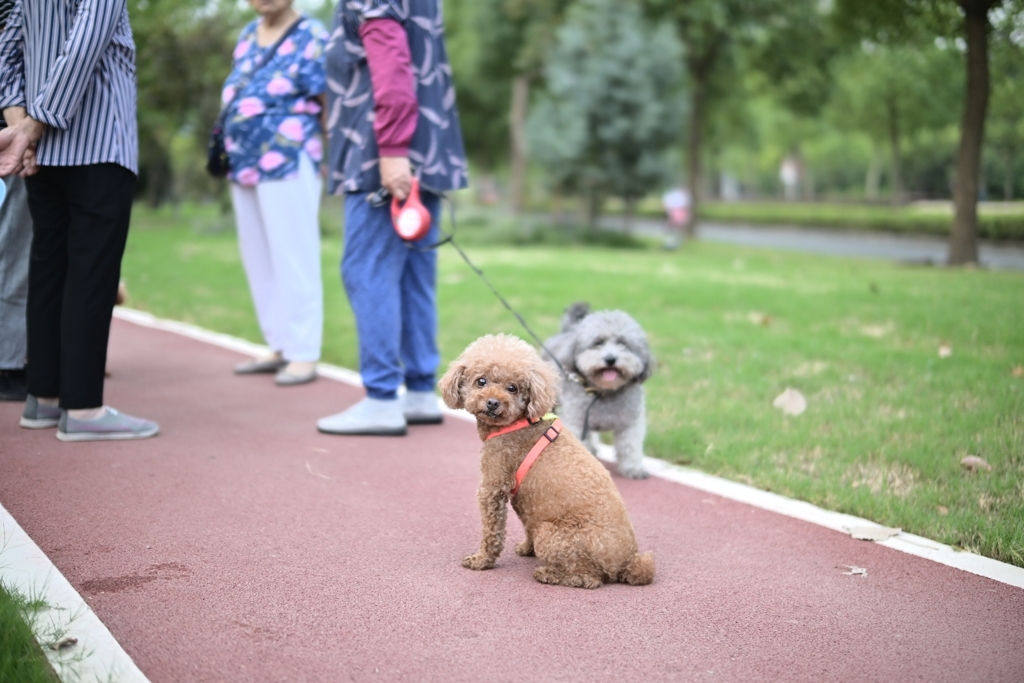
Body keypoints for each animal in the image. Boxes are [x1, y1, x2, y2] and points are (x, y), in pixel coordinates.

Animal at [544, 301, 655, 479]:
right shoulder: (576, 420)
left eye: (622, 343)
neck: (604, 392)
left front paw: (633, 468)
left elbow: (630, 446)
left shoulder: (631, 423)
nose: (610, 359)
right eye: (598, 343)